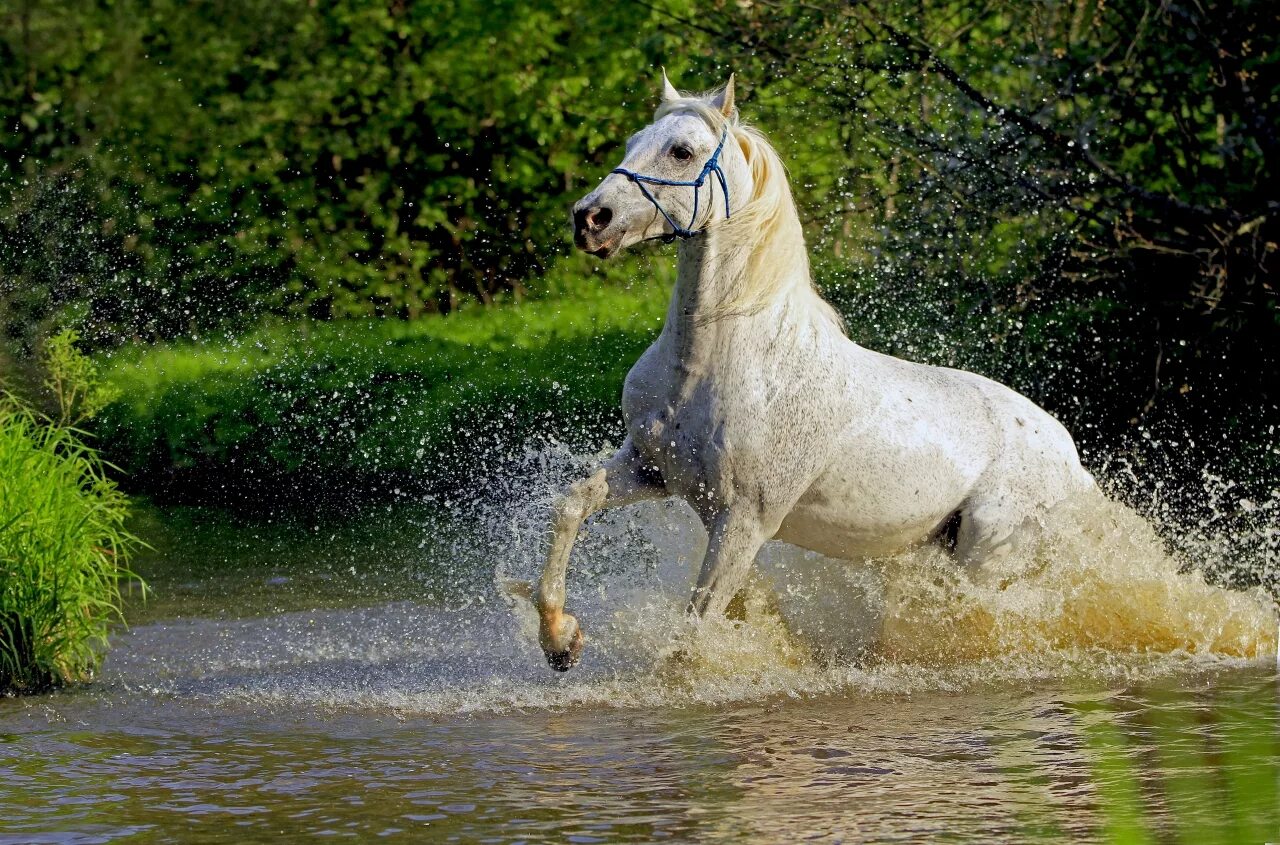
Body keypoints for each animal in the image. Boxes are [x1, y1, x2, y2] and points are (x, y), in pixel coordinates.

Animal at [524, 72, 1095, 670]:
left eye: (682, 151)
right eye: (633, 141)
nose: (589, 218)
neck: (711, 365)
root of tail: (1071, 458)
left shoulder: (745, 521)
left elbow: (693, 631)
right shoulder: (653, 470)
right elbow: (573, 503)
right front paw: (560, 641)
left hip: (987, 561)